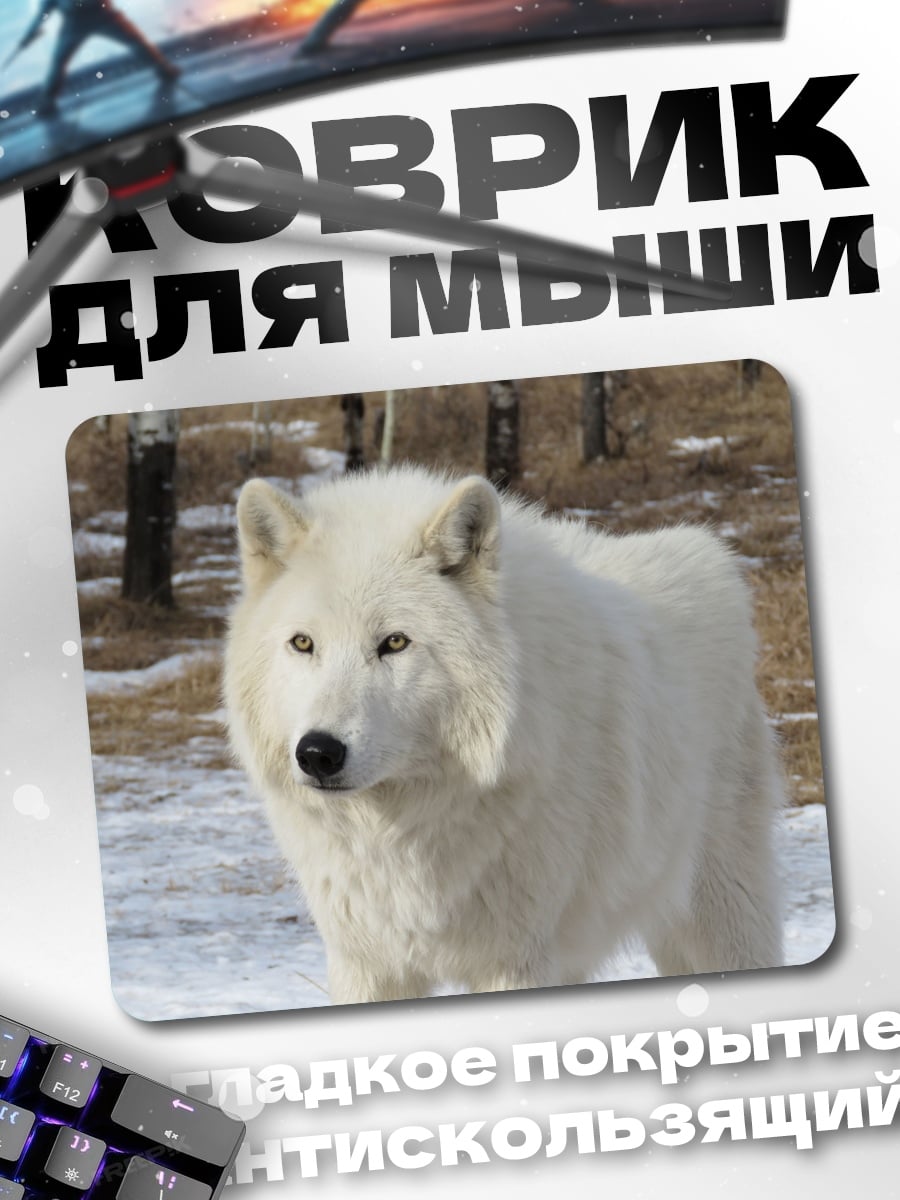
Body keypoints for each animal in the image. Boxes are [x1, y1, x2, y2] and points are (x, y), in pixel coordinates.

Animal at [224, 466, 783, 1005]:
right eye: (303, 643)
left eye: (395, 643)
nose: (318, 753)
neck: (404, 831)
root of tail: (707, 551)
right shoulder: (367, 963)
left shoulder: (514, 960)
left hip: (721, 916)